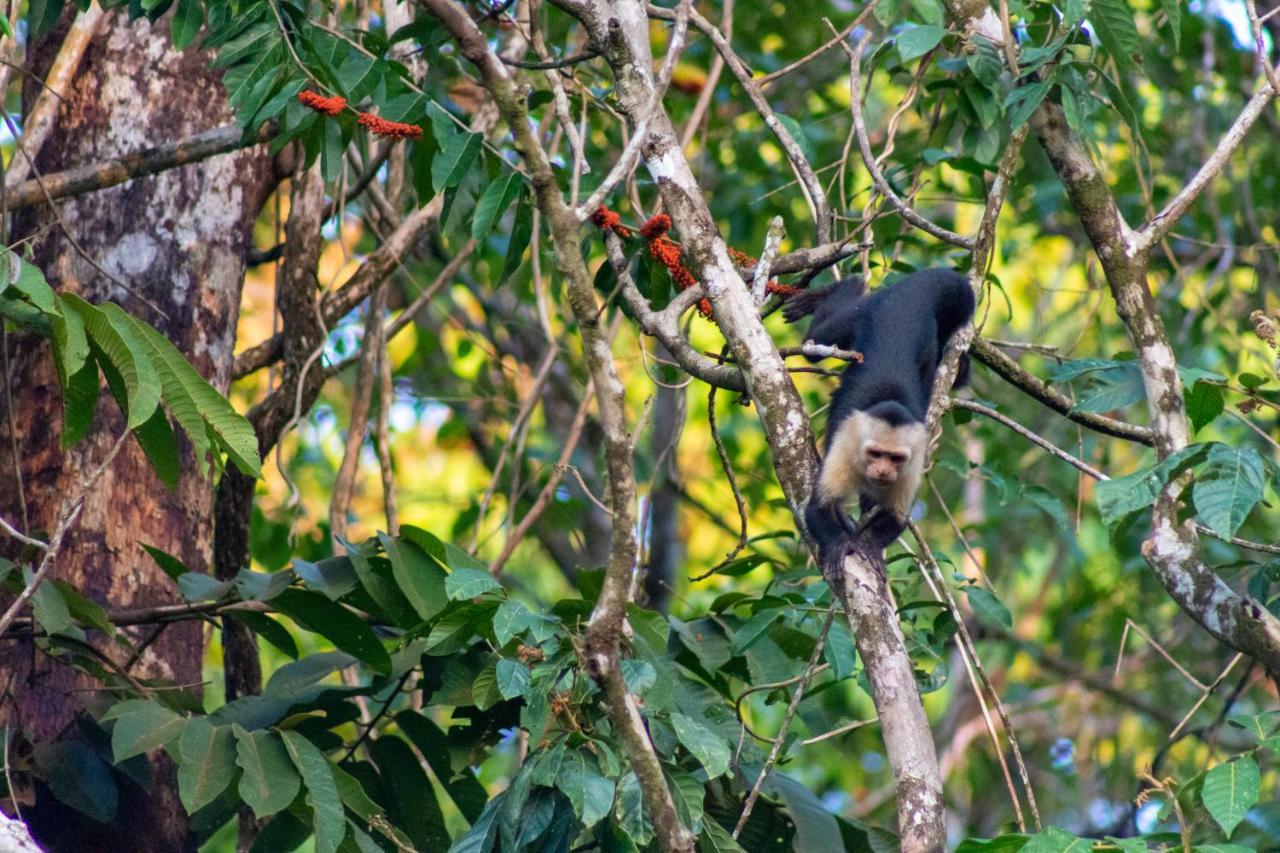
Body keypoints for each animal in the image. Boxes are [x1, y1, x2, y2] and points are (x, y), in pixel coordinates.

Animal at [778, 268, 977, 568]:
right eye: (874, 453)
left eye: (895, 458)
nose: (883, 471)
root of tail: (907, 299)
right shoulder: (846, 443)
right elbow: (818, 508)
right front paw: (838, 545)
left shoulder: (914, 456)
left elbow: (896, 516)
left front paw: (869, 546)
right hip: (869, 310)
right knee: (817, 342)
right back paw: (839, 290)